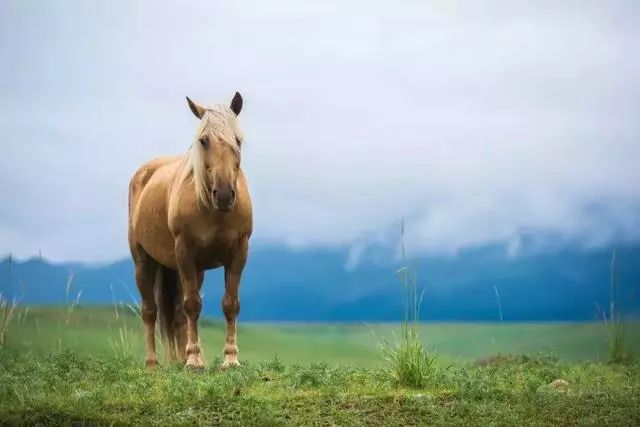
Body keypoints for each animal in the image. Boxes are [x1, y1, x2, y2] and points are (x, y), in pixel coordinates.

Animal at [129, 93, 251, 372]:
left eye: (238, 140)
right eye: (203, 141)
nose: (224, 195)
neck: (213, 210)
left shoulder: (239, 251)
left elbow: (230, 304)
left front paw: (230, 359)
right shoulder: (184, 251)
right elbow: (192, 304)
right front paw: (194, 361)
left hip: (192, 269)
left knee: (175, 314)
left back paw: (181, 359)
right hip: (144, 262)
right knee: (150, 311)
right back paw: (153, 362)